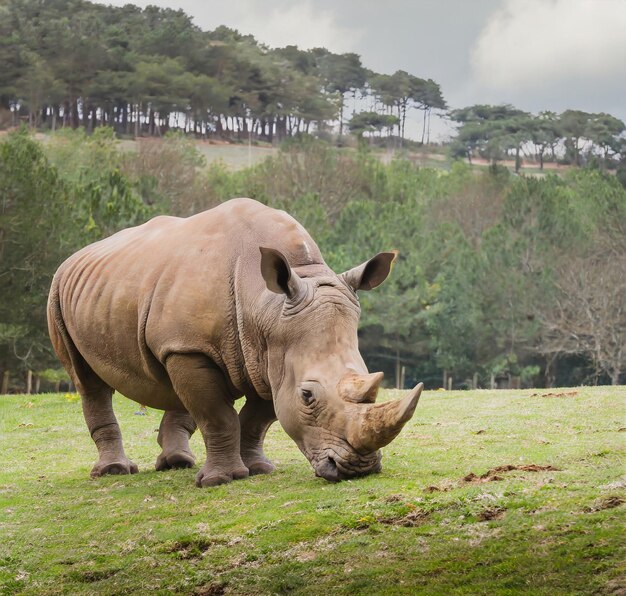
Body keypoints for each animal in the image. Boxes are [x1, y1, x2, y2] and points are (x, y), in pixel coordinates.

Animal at [47, 198, 420, 486]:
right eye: (307, 396)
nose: (358, 469)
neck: (266, 308)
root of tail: (75, 257)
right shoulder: (197, 346)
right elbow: (217, 415)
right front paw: (221, 480)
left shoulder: (271, 356)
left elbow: (257, 418)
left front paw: (258, 469)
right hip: (58, 293)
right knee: (89, 383)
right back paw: (114, 472)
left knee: (172, 380)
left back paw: (178, 463)